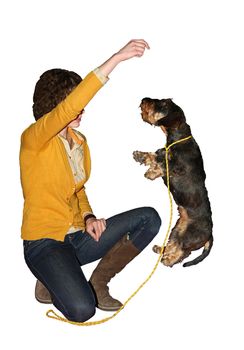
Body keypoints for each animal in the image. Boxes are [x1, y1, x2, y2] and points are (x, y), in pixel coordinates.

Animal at [133, 97, 214, 266]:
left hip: (188, 236)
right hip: (178, 229)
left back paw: (168, 259)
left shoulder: (175, 167)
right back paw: (160, 250)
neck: (178, 138)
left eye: (163, 104)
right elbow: (156, 154)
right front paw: (140, 156)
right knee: (174, 244)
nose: (144, 99)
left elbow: (160, 159)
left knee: (182, 253)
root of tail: (210, 235)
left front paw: (150, 171)